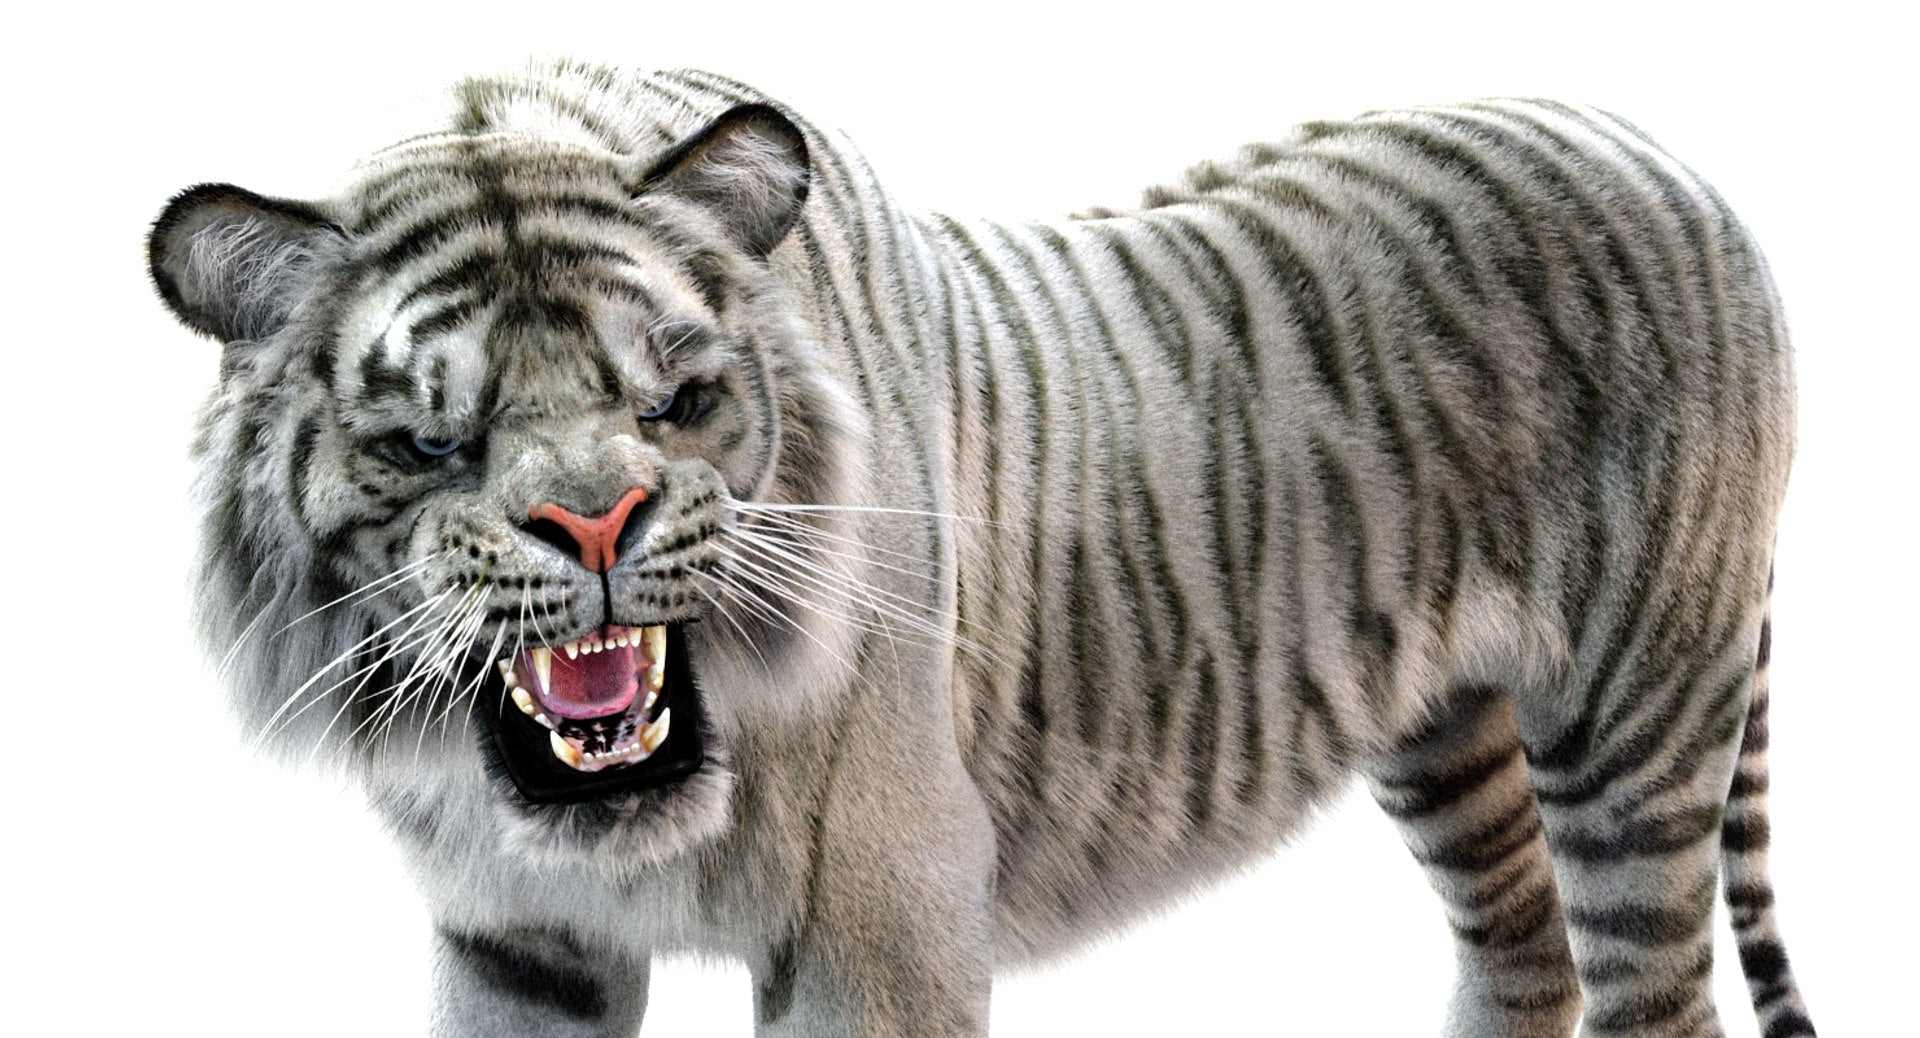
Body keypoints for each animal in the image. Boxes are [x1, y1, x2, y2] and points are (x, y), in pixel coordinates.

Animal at [146, 61, 1816, 1037]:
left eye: (675, 401)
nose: (596, 521)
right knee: (1524, 951)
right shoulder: (513, 932)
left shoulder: (878, 915)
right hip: (1447, 725)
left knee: (1656, 988)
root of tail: (1638, 137)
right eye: (432, 440)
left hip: (1637, 717)